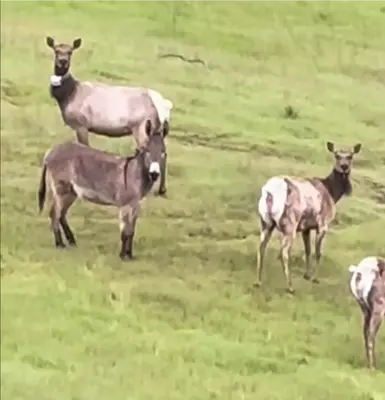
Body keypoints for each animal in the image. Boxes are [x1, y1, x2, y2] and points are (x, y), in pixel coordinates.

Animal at [36, 120, 166, 260]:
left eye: (163, 152)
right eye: (147, 151)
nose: (154, 174)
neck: (134, 173)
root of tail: (50, 151)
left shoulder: (135, 205)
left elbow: (131, 231)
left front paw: (129, 255)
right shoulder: (125, 205)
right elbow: (125, 231)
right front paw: (123, 255)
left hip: (71, 192)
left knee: (61, 215)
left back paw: (71, 241)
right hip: (62, 190)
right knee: (55, 214)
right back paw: (60, 244)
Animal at [44, 36, 172, 197]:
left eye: (70, 51)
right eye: (56, 50)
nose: (62, 61)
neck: (68, 95)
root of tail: (165, 106)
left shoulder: (82, 124)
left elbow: (85, 146)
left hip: (142, 127)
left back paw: (159, 188)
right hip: (157, 128)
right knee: (163, 151)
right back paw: (161, 188)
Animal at [255, 141, 360, 294]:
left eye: (350, 156)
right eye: (336, 155)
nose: (344, 167)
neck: (333, 193)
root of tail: (270, 193)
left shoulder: (306, 227)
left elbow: (308, 250)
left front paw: (307, 275)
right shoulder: (323, 224)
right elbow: (318, 252)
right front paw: (315, 278)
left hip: (265, 222)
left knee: (261, 247)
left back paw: (258, 281)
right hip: (289, 224)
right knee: (284, 252)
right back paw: (290, 286)